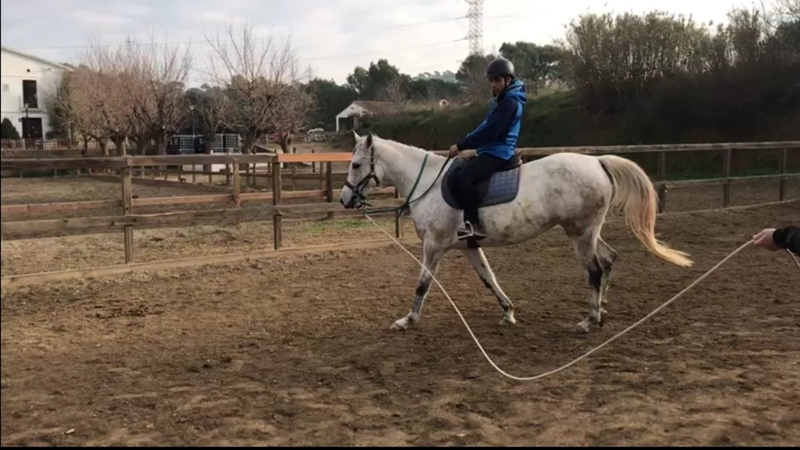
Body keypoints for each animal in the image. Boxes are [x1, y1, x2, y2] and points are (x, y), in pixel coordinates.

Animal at [340, 131, 693, 333]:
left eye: (356, 165)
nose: (344, 200)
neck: (428, 182)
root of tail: (598, 163)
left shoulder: (434, 245)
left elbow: (422, 284)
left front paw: (407, 321)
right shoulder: (469, 246)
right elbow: (489, 279)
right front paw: (508, 313)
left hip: (580, 233)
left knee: (594, 269)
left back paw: (589, 320)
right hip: (588, 231)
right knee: (608, 260)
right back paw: (601, 309)